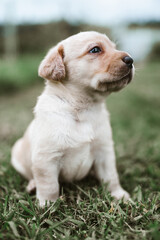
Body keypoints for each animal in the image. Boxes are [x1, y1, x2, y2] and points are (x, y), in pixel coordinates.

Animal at [11, 31, 134, 206]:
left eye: (114, 48)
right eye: (95, 50)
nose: (130, 60)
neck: (81, 108)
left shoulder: (104, 151)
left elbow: (111, 176)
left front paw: (119, 195)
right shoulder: (46, 158)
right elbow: (49, 186)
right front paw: (48, 206)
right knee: (30, 175)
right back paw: (32, 184)